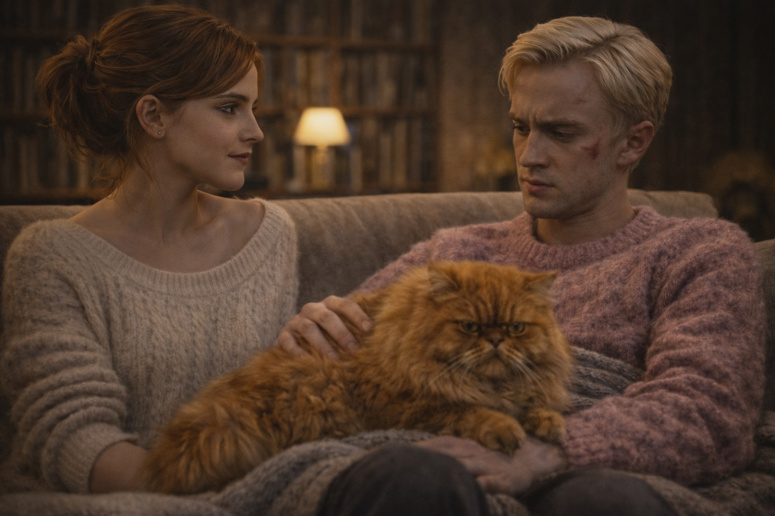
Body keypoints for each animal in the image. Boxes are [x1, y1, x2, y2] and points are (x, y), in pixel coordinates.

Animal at [139, 260, 574, 494]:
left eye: (516, 328)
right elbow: (467, 411)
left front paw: (548, 422)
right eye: (469, 327)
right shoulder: (402, 404)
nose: (496, 340)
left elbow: (536, 404)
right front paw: (504, 427)